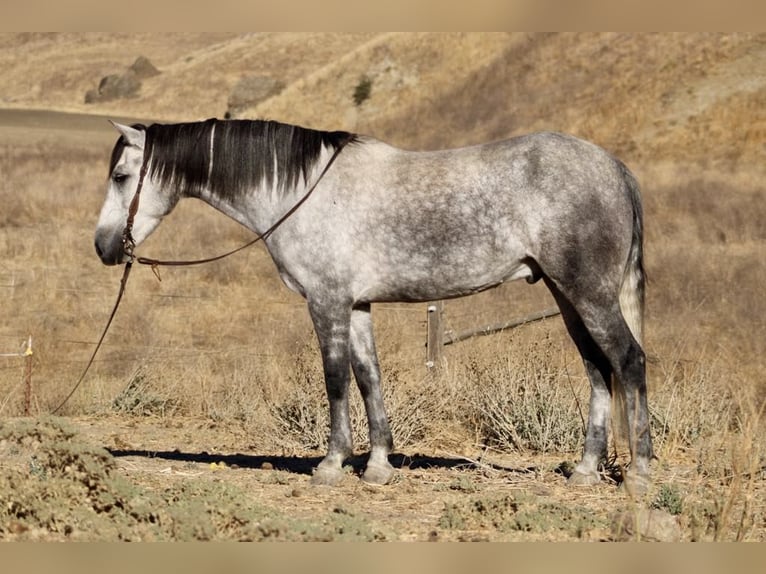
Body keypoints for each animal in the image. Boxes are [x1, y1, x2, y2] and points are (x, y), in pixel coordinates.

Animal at [94, 119, 656, 492]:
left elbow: (336, 378)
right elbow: (369, 376)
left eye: (121, 176)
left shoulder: (327, 301)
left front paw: (331, 464)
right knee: (597, 369)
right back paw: (585, 470)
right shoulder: (358, 304)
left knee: (628, 360)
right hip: (567, 295)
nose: (103, 246)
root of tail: (615, 169)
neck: (302, 191)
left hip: (588, 293)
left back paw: (640, 471)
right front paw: (379, 464)